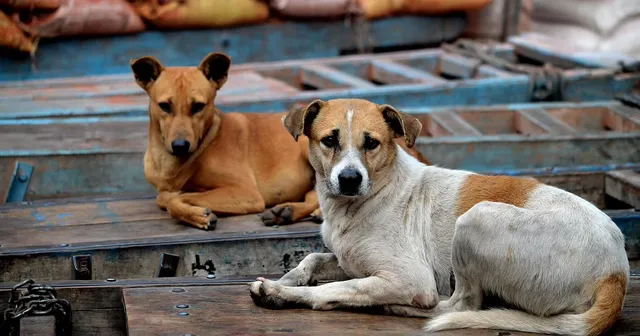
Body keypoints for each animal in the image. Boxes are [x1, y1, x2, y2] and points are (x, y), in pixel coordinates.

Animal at [130, 52, 430, 230]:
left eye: (198, 106)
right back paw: (287, 211)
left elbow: (170, 198)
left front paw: (196, 212)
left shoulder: (245, 193)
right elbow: (167, 195)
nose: (180, 146)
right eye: (164, 106)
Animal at [250, 98, 632, 334]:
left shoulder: (409, 278)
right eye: (329, 140)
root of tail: (617, 272)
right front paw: (289, 279)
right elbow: (313, 259)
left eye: (371, 143)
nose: (349, 179)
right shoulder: (351, 260)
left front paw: (281, 292)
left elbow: (336, 289)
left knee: (461, 305)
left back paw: (401, 308)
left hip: (476, 220)